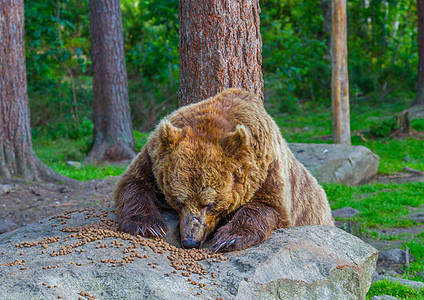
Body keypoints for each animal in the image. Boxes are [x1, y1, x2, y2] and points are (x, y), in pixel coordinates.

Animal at [113, 88, 334, 252]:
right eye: (178, 200)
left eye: (209, 204)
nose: (190, 241)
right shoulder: (153, 156)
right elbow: (133, 182)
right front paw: (149, 225)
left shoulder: (268, 168)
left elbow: (269, 207)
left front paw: (229, 238)